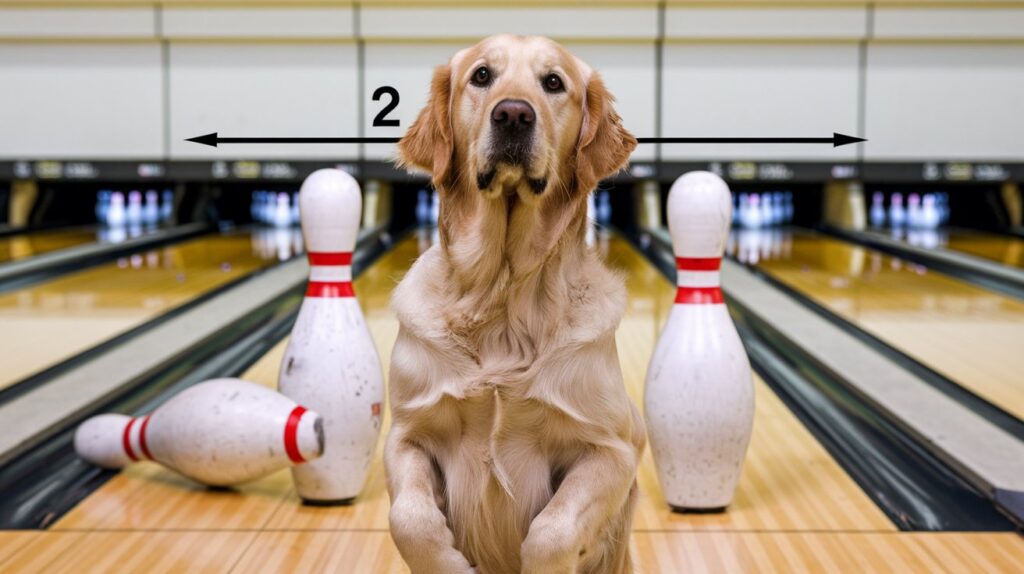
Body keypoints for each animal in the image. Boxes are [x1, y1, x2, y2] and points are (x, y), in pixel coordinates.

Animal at [387, 35, 643, 572]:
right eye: (482, 75)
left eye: (554, 83)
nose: (513, 114)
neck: (501, 301)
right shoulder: (407, 435)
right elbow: (411, 520)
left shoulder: (613, 451)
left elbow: (552, 531)